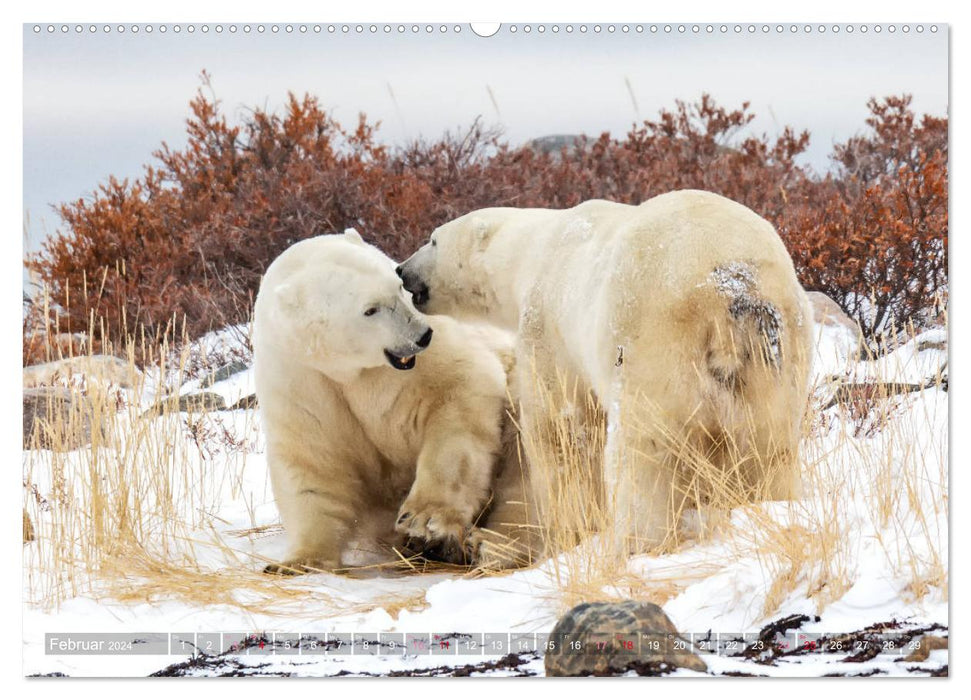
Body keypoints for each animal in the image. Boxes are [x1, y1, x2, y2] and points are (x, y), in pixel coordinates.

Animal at [254, 230, 536, 576]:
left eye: (398, 286)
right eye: (370, 309)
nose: (422, 335)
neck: (347, 371)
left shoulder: (420, 365)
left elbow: (458, 394)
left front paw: (425, 521)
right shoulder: (300, 384)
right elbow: (313, 466)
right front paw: (298, 562)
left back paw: (485, 545)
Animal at [398, 189, 816, 556]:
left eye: (433, 239)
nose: (402, 270)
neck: (534, 248)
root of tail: (734, 288)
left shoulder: (549, 320)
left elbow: (563, 426)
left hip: (655, 337)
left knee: (648, 450)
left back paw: (635, 541)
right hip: (777, 357)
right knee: (769, 446)